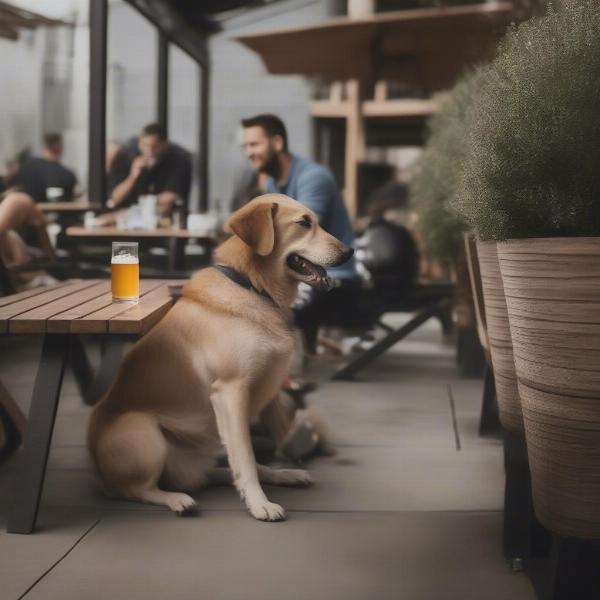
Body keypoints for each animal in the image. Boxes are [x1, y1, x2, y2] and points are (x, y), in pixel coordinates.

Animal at [86, 193, 354, 520]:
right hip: (142, 430)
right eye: (304, 223)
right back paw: (177, 499)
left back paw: (283, 475)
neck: (253, 287)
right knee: (140, 489)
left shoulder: (270, 388)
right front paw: (260, 504)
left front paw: (289, 458)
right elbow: (245, 457)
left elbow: (274, 440)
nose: (350, 251)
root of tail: (99, 476)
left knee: (219, 473)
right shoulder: (231, 391)